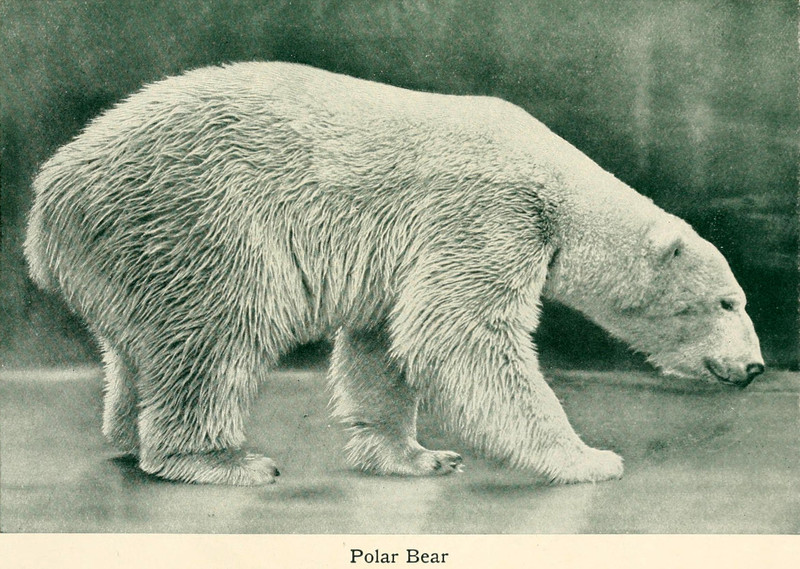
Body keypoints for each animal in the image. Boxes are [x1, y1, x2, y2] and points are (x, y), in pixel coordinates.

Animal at [24, 61, 765, 485]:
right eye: (729, 302)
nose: (756, 367)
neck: (555, 182)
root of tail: (46, 202)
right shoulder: (488, 211)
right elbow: (461, 332)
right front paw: (590, 459)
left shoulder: (409, 252)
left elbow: (384, 342)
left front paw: (417, 455)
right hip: (191, 216)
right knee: (219, 326)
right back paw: (221, 460)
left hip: (129, 251)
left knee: (136, 348)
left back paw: (129, 435)